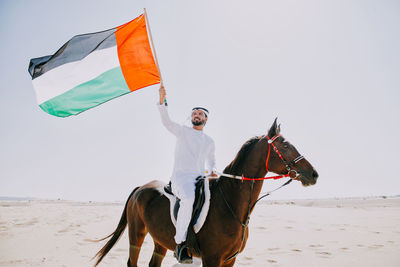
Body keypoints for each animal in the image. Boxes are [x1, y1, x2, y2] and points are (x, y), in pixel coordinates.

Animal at [94, 120, 318, 267]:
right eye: (286, 145)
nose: (313, 174)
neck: (231, 204)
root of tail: (140, 188)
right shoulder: (212, 259)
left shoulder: (229, 260)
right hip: (136, 234)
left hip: (160, 240)